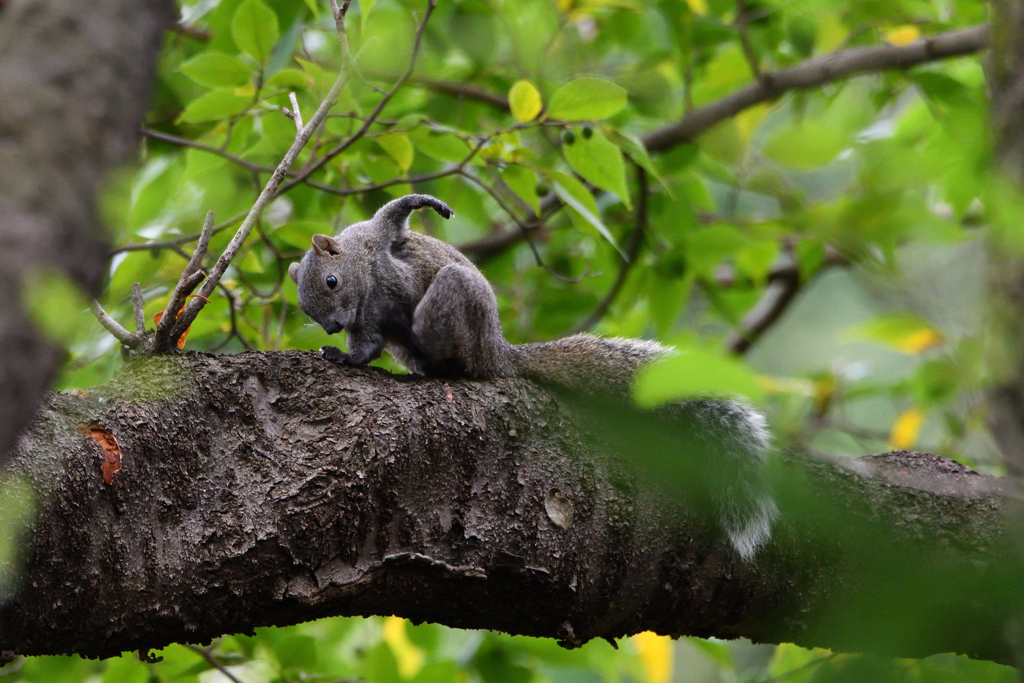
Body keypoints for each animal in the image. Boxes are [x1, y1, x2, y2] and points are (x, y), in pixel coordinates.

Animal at [288, 193, 774, 561]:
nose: (331, 327)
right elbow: (365, 348)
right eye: (306, 307)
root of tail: (497, 352)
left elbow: (393, 214)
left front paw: (424, 203)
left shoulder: (375, 243)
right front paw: (342, 354)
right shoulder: (366, 323)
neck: (365, 274)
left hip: (453, 297)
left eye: (330, 282)